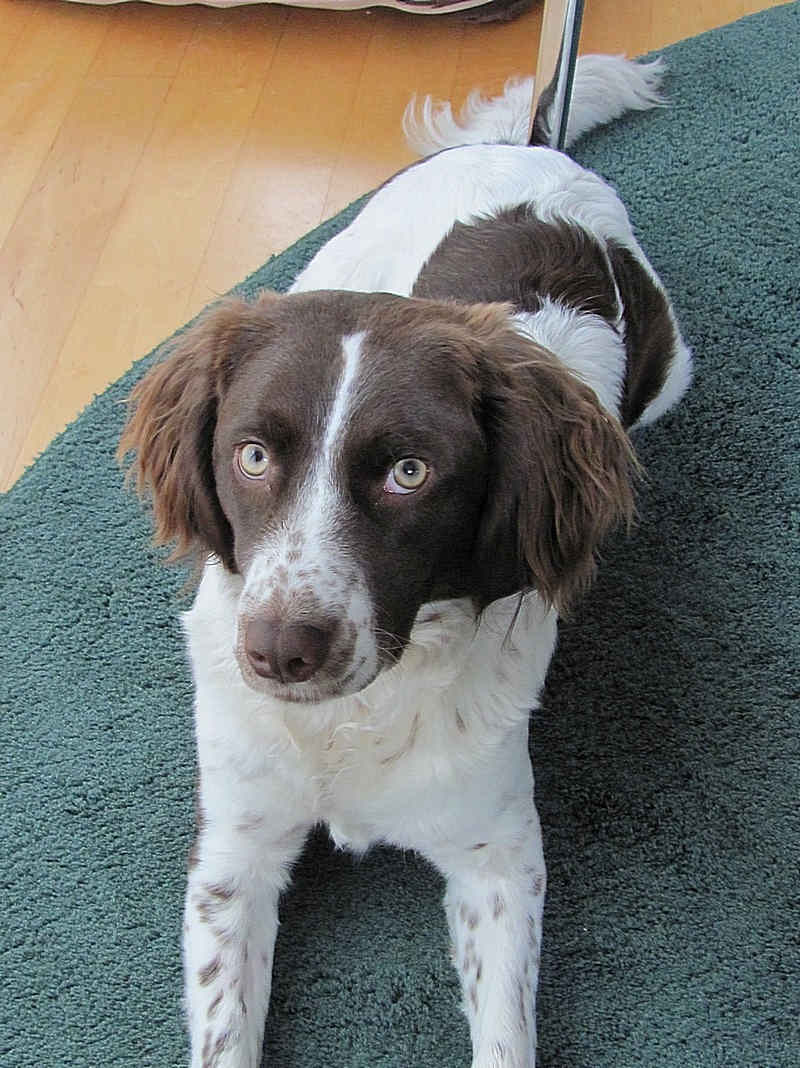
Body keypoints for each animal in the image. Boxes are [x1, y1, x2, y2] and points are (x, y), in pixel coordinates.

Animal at [120, 54, 691, 1068]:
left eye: (409, 473)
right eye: (252, 455)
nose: (280, 651)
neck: (354, 719)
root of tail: (530, 149)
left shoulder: (499, 856)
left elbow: (505, 1033)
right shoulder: (233, 851)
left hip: (673, 372)